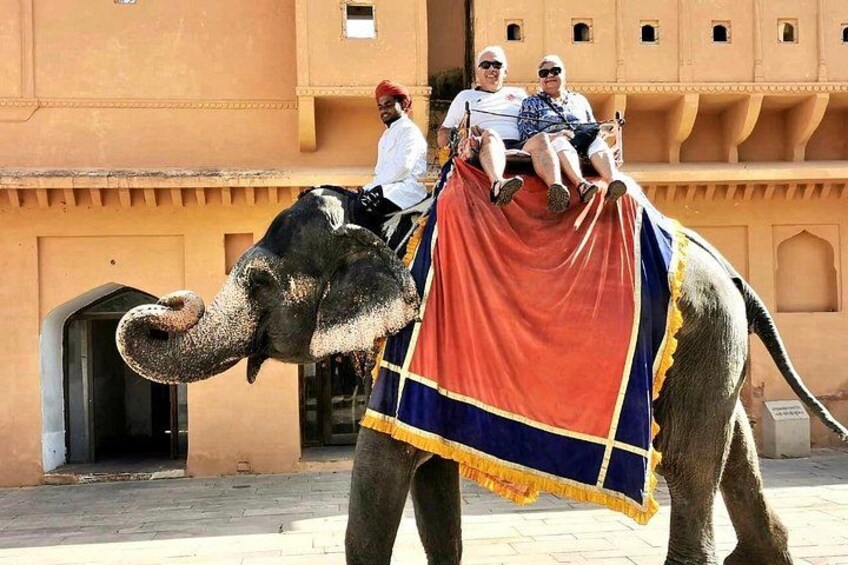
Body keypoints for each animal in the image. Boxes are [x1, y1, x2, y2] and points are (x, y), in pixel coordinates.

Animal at [117, 186, 848, 565]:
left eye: (263, 282)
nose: (175, 299)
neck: (386, 225)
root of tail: (732, 271)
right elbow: (431, 479)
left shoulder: (415, 338)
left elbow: (382, 467)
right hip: (714, 343)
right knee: (732, 451)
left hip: (701, 332)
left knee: (692, 467)